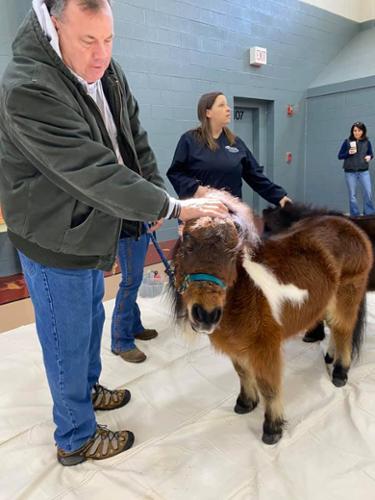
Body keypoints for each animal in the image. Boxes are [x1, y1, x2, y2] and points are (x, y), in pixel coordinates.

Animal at [171, 191, 374, 446]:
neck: (244, 294)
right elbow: (242, 372)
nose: (206, 314)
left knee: (343, 330)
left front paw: (272, 428)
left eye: (232, 252)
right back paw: (329, 355)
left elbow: (268, 386)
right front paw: (246, 403)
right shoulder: (237, 346)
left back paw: (339, 372)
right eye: (187, 244)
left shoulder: (265, 348)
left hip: (347, 296)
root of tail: (348, 224)